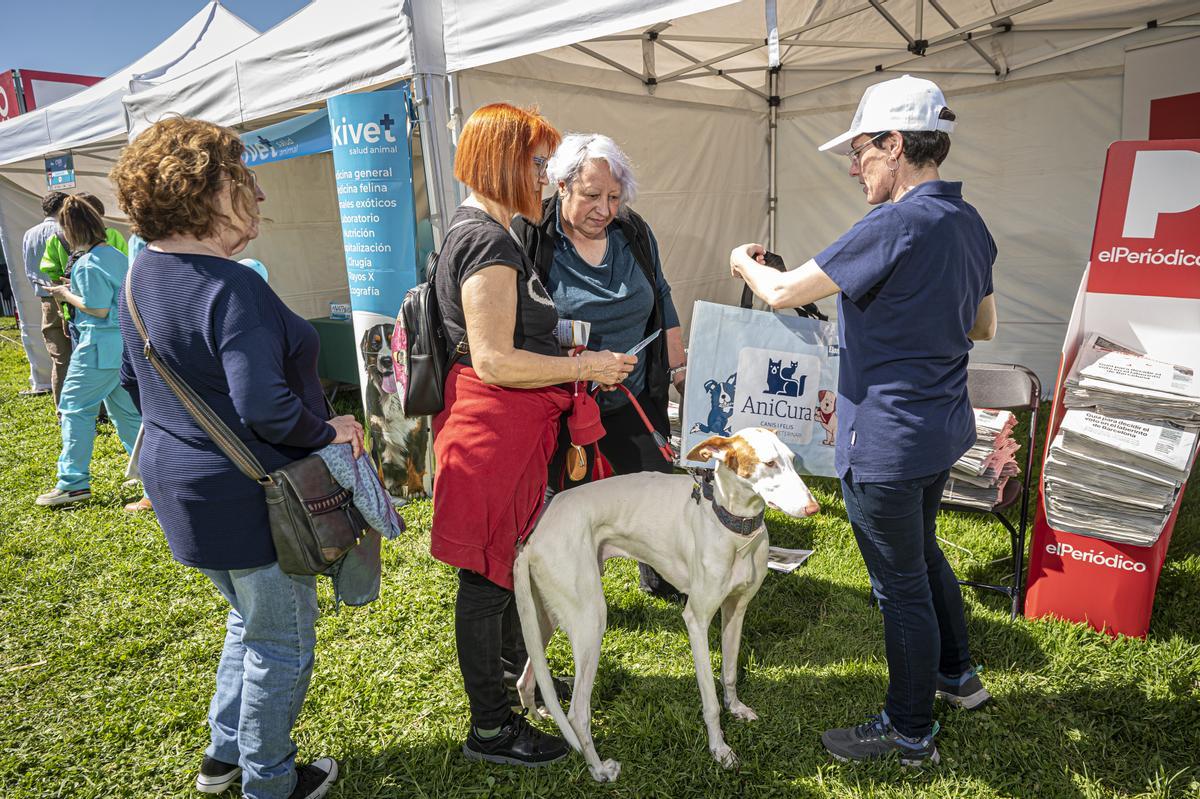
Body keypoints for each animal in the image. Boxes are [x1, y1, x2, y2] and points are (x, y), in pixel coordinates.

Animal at [511, 427, 820, 782]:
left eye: (792, 460)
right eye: (769, 463)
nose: (814, 508)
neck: (731, 527)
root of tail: (531, 539)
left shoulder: (736, 610)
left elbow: (729, 672)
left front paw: (737, 708)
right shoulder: (697, 620)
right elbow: (710, 701)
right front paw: (719, 750)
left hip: (546, 616)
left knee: (526, 677)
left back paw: (537, 716)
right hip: (590, 621)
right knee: (577, 712)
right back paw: (599, 769)